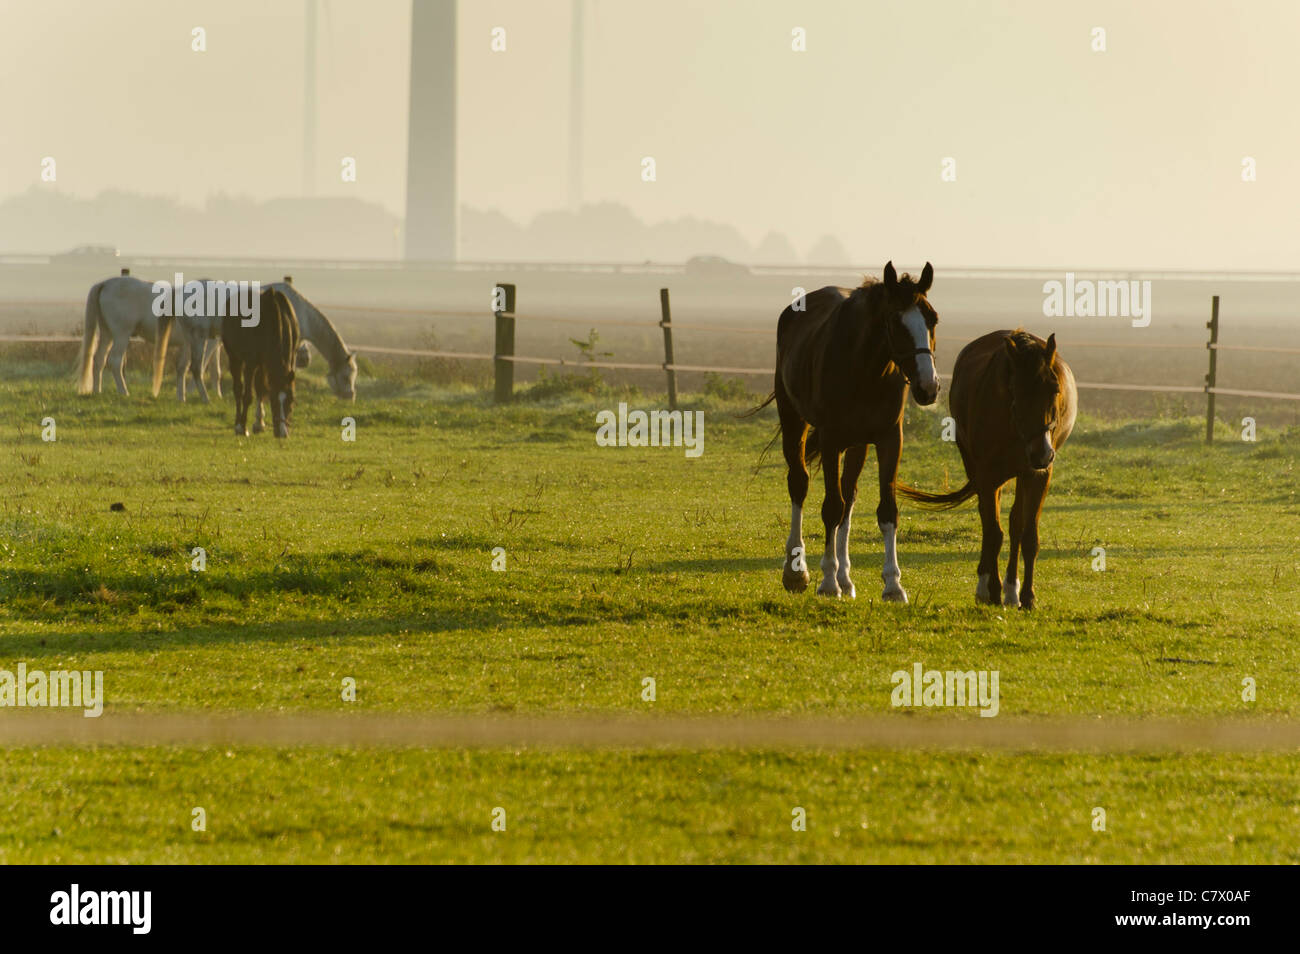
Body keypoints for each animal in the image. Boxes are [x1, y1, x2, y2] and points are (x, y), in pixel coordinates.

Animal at [226, 287, 304, 441]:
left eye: (291, 401)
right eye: (273, 401)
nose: (282, 433)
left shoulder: (290, 357)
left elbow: (261, 389)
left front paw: (258, 423)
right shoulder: (250, 363)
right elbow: (247, 396)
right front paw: (242, 427)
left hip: (262, 364)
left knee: (260, 386)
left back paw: (259, 423)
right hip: (234, 357)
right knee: (238, 389)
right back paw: (238, 424)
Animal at [759, 259, 935, 605]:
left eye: (932, 319)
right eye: (895, 322)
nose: (928, 386)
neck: (865, 369)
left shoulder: (889, 440)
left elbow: (885, 510)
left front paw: (893, 584)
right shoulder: (831, 440)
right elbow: (831, 507)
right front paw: (827, 581)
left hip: (857, 445)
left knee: (848, 494)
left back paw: (845, 577)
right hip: (794, 421)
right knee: (800, 484)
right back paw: (797, 571)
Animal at [899, 332, 1081, 608]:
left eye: (1055, 389)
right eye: (1017, 391)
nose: (1042, 453)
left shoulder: (1037, 475)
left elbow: (1028, 535)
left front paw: (1027, 596)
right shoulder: (988, 477)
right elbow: (993, 532)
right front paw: (992, 590)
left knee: (1015, 524)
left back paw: (1012, 589)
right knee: (987, 520)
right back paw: (986, 585)